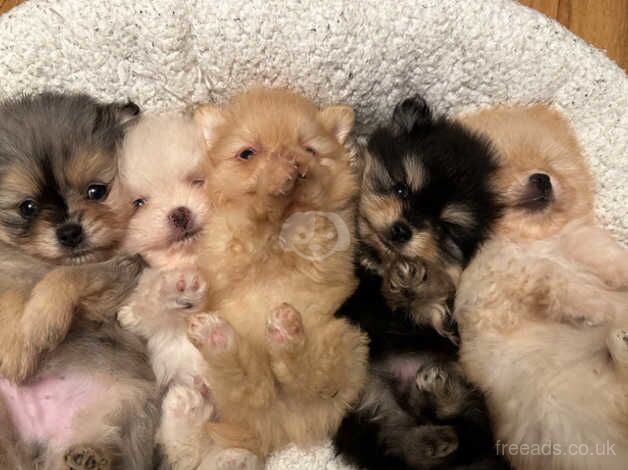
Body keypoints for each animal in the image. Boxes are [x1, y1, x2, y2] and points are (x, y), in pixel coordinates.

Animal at [0, 92, 159, 470]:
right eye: (27, 207)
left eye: (96, 191)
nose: (70, 232)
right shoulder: (7, 269)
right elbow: (13, 294)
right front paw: (16, 350)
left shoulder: (119, 279)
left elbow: (65, 276)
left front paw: (38, 327)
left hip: (130, 402)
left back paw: (90, 456)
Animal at [116, 113, 256, 470]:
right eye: (139, 203)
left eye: (197, 181)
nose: (179, 213)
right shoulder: (142, 320)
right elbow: (145, 304)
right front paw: (177, 288)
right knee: (185, 455)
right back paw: (187, 409)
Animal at [186, 88, 370, 458]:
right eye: (247, 153)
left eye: (310, 149)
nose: (290, 156)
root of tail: (281, 429)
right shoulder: (233, 243)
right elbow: (255, 211)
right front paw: (272, 183)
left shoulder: (320, 228)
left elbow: (310, 204)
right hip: (232, 381)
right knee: (257, 388)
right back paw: (218, 337)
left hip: (344, 340)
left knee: (308, 379)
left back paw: (285, 334)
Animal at [334, 96, 506, 470]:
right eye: (400, 188)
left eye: (443, 228)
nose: (402, 229)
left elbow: (432, 306)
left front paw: (411, 284)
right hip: (365, 392)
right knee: (398, 436)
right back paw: (431, 436)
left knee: (454, 419)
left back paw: (440, 397)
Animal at [454, 105, 628, 470]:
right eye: (499, 167)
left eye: (549, 164)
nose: (542, 179)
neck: (531, 240)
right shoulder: (499, 285)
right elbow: (558, 281)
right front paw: (602, 307)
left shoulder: (579, 240)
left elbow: (605, 256)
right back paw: (621, 338)